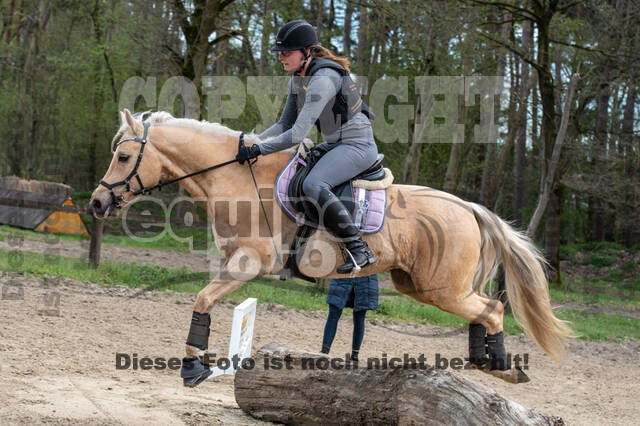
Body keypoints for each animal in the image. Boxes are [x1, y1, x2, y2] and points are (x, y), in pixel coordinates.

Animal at [89, 110, 568, 386]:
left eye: (124, 158)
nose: (96, 202)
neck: (237, 178)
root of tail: (468, 207)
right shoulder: (232, 262)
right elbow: (205, 299)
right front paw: (200, 363)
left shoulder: (250, 263)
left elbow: (202, 299)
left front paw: (192, 368)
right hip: (419, 285)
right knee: (485, 309)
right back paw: (487, 364)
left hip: (440, 289)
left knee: (493, 308)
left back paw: (502, 366)